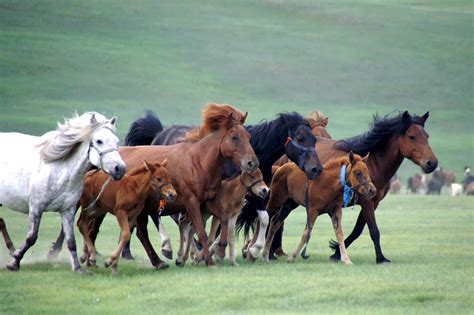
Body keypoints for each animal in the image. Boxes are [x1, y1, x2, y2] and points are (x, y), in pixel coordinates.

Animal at [0, 112, 126, 272]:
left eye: (117, 141)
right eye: (99, 141)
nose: (120, 168)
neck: (59, 169)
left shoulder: (68, 210)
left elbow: (71, 241)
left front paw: (78, 268)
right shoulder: (36, 207)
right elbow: (31, 237)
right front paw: (14, 262)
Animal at [268, 111, 438, 264]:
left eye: (427, 136)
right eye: (412, 136)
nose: (432, 163)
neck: (374, 164)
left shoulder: (372, 202)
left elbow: (358, 230)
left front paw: (336, 253)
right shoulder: (366, 201)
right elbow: (373, 230)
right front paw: (381, 258)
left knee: (277, 221)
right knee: (274, 220)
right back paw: (269, 253)